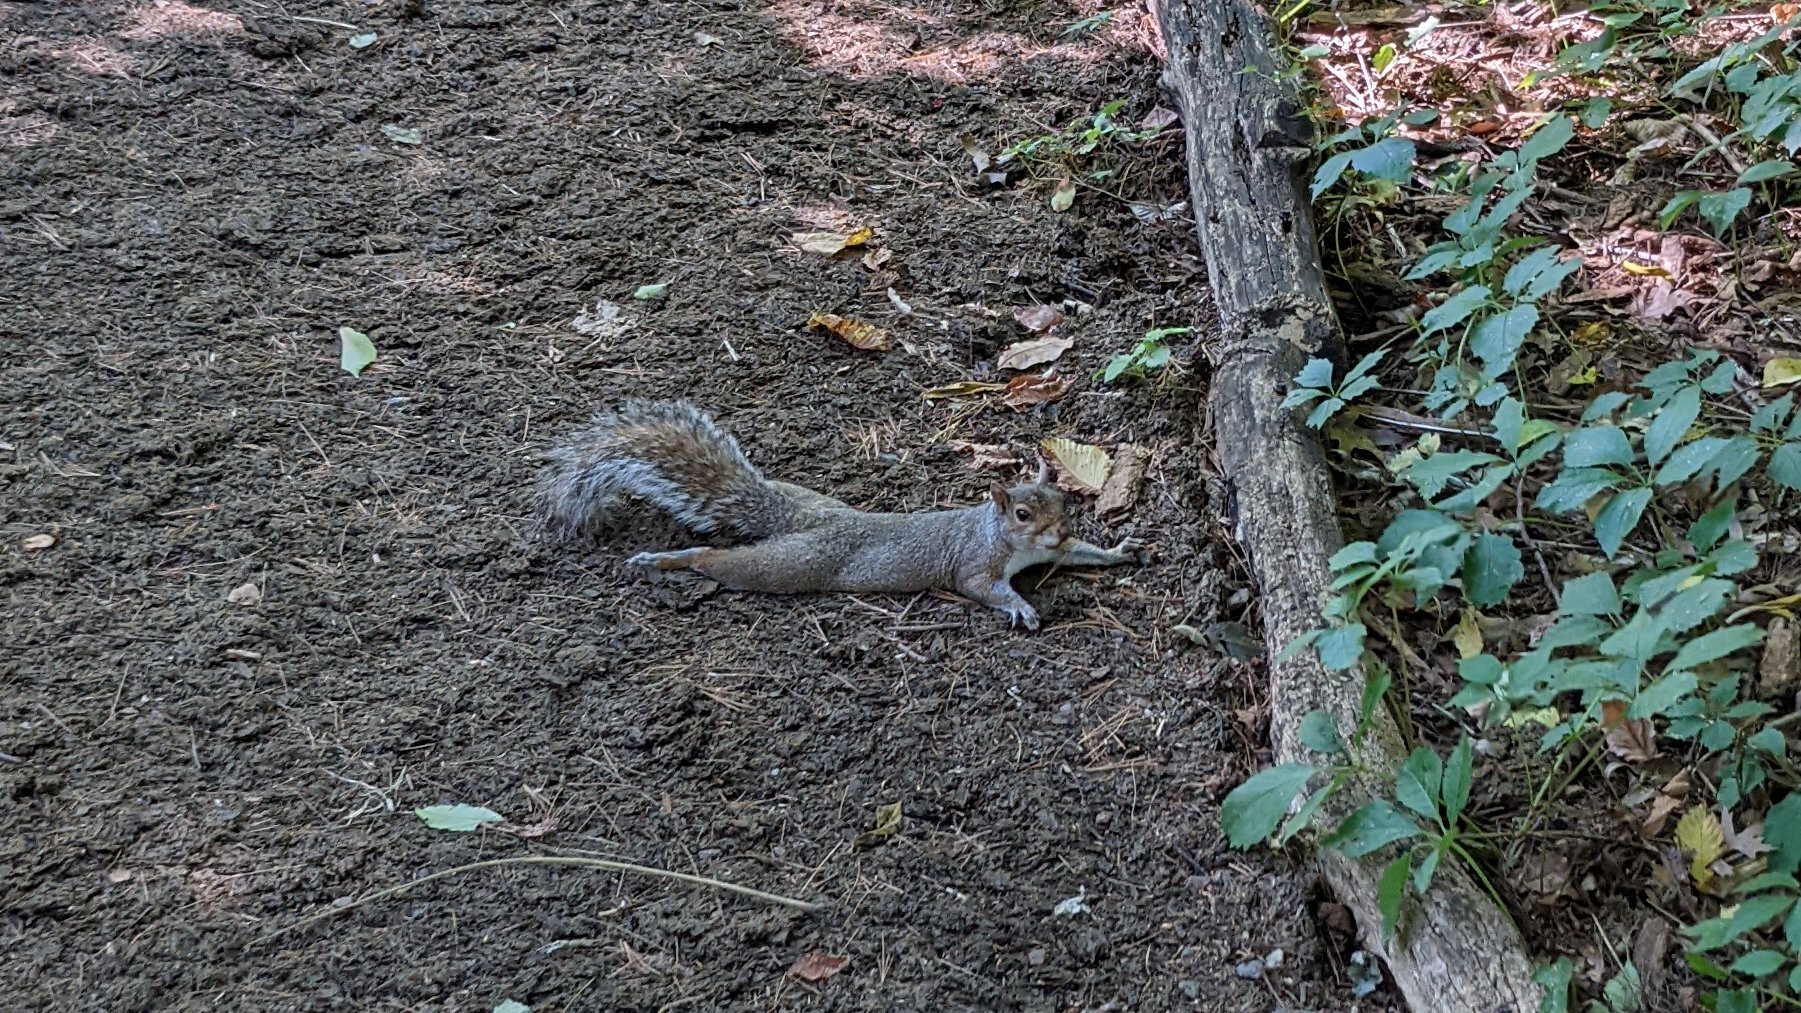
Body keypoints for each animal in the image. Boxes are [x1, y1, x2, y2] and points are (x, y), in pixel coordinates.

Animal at [534, 400, 1147, 630]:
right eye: (1021, 512)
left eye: (1066, 501)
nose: (1060, 528)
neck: (1011, 544)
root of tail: (809, 522)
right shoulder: (976, 562)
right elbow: (981, 587)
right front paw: (1019, 606)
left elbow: (1082, 557)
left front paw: (1117, 551)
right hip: (789, 564)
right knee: (721, 560)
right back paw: (669, 560)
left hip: (805, 503)